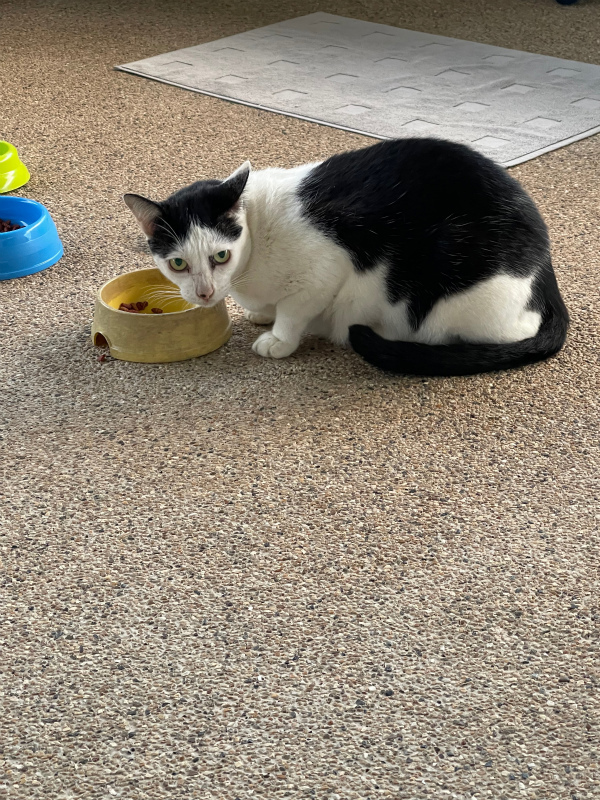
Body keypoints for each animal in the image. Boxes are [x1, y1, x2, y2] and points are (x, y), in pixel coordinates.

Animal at [124, 137, 569, 376]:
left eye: (220, 255)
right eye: (178, 263)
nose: (203, 293)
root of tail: (546, 275)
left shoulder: (325, 270)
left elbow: (293, 311)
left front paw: (279, 338)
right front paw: (261, 314)